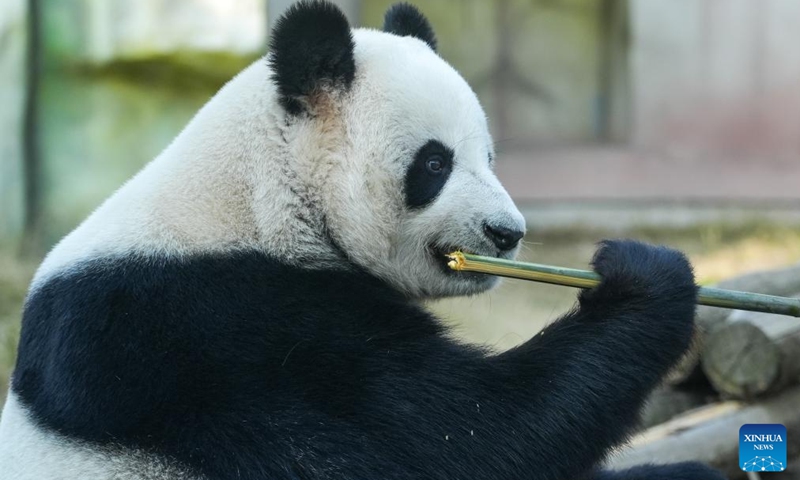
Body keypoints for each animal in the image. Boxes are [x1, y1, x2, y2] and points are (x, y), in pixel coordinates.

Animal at [0, 2, 726, 479]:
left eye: (490, 156)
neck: (255, 196)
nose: (506, 233)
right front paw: (643, 277)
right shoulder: (211, 331)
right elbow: (460, 438)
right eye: (434, 164)